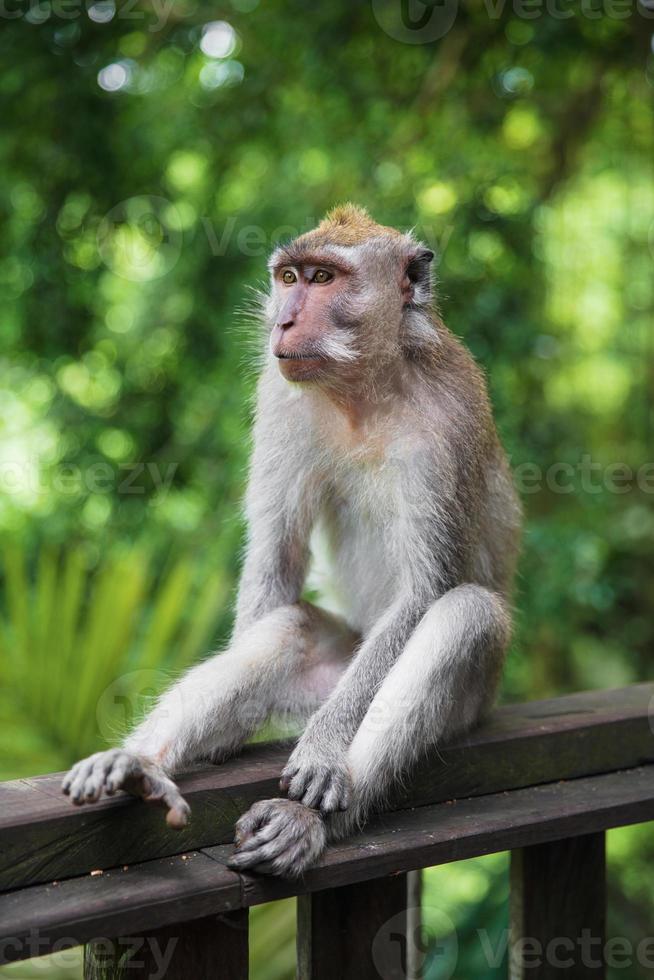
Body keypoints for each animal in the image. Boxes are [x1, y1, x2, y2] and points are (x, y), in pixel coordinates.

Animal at [61, 203, 524, 876]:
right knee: (289, 629)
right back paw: (140, 764)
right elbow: (275, 560)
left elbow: (423, 593)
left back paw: (311, 815)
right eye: (288, 277)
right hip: (325, 677)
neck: (366, 389)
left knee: (466, 616)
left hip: (466, 700)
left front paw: (326, 754)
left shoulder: (451, 421)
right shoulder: (280, 398)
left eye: (324, 278)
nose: (283, 319)